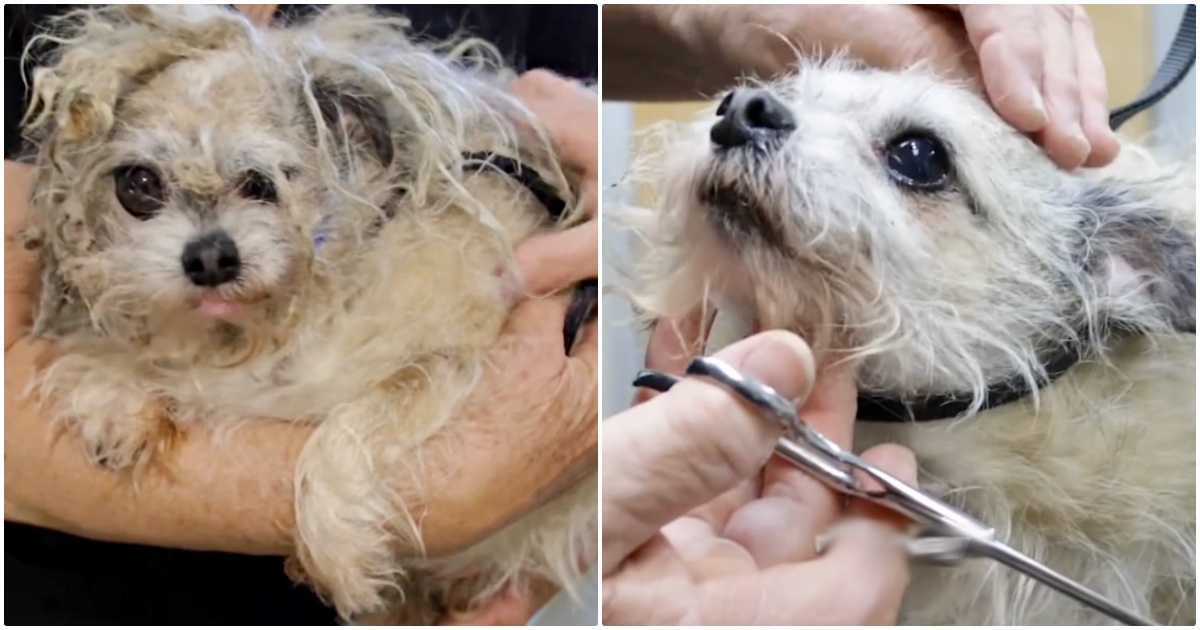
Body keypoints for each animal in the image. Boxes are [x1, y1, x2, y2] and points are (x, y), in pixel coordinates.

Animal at [17, 4, 595, 624]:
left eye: (262, 183)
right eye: (139, 185)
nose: (210, 257)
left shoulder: (449, 356)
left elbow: (348, 430)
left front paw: (338, 551)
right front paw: (114, 394)